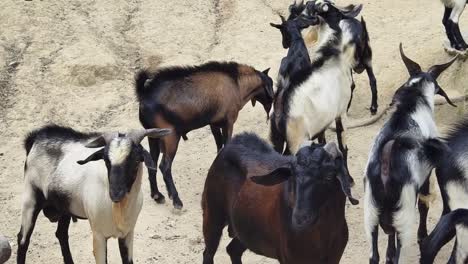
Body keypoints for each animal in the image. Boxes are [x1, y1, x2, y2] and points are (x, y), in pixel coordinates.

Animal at [16, 125, 170, 264]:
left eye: (137, 160)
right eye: (106, 160)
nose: (115, 193)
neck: (119, 209)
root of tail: (36, 136)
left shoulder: (127, 234)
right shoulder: (98, 236)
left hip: (65, 207)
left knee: (61, 234)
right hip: (30, 199)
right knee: (22, 240)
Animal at [135, 61, 274, 208]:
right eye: (271, 84)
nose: (273, 99)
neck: (236, 83)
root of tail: (144, 95)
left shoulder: (214, 124)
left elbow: (219, 146)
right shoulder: (229, 122)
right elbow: (226, 143)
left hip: (152, 136)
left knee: (152, 164)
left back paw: (157, 195)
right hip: (170, 137)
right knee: (165, 167)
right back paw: (176, 200)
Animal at [201, 133, 358, 262]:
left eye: (329, 176)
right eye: (292, 175)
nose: (299, 219)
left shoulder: (334, 257)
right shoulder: (289, 258)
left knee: (233, 250)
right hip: (213, 215)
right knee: (208, 253)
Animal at [362, 44, 458, 262]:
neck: (412, 106)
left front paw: (388, 254)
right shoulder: (427, 174)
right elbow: (424, 204)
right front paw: (422, 236)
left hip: (370, 216)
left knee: (373, 256)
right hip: (404, 219)